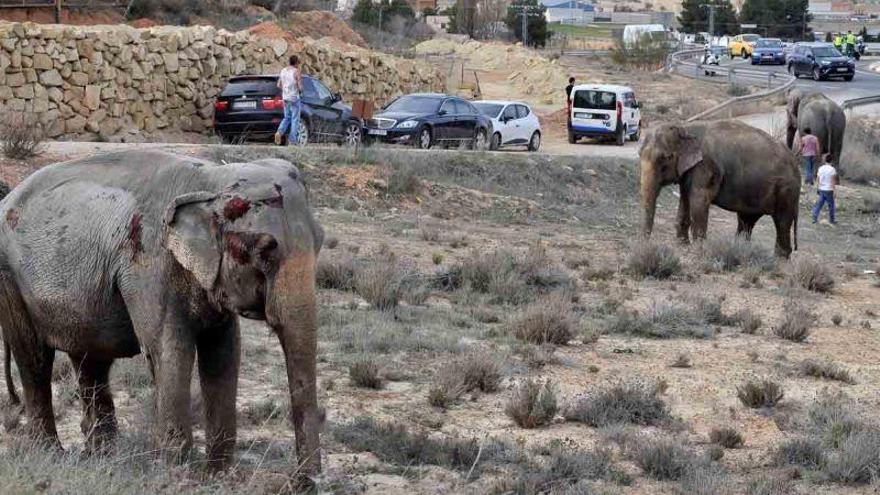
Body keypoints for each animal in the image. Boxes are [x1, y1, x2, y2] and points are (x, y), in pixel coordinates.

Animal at [0, 150, 324, 480]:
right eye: (264, 251)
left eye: (321, 240)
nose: (305, 482)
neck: (209, 181)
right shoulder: (149, 264)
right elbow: (171, 350)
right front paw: (175, 475)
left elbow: (224, 353)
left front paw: (218, 477)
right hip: (10, 280)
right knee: (35, 359)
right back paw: (51, 452)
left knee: (91, 361)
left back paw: (102, 458)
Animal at [636, 120, 800, 258]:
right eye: (639, 154)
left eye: (665, 158)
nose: (646, 246)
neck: (685, 128)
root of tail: (796, 163)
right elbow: (685, 200)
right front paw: (682, 245)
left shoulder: (705, 168)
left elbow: (698, 201)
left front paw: (699, 249)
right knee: (747, 220)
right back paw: (740, 250)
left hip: (786, 190)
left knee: (782, 222)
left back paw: (779, 259)